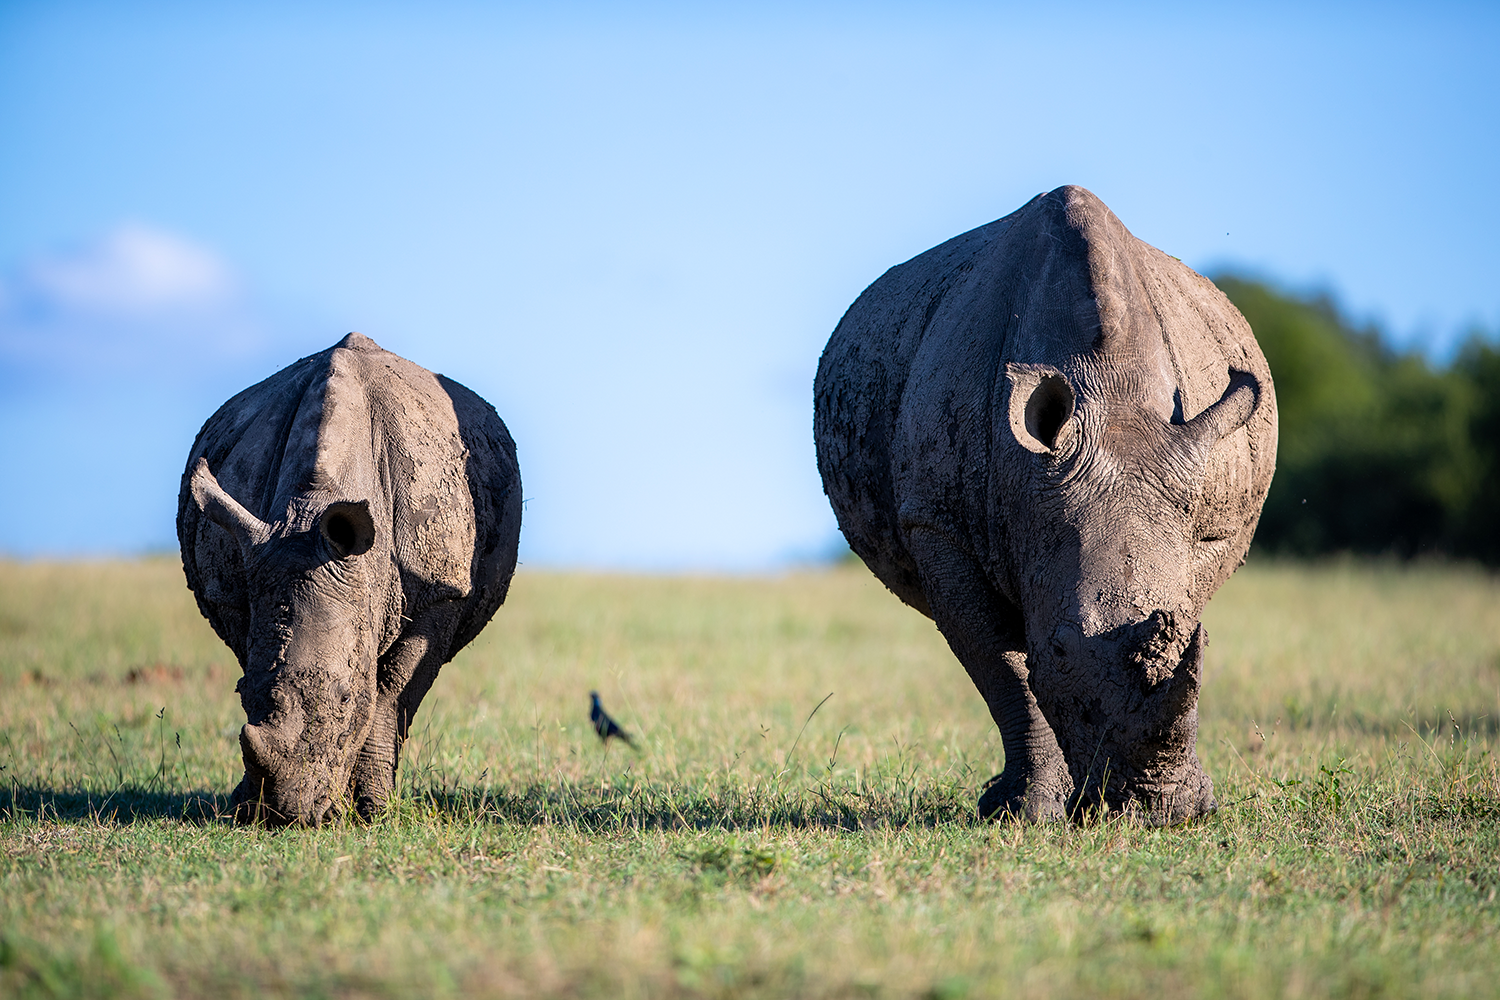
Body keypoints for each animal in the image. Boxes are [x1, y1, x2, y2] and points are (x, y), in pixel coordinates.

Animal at [178, 332, 521, 826]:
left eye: (344, 698)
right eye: (240, 696)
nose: (285, 815)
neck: (306, 507)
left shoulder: (440, 593)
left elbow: (391, 692)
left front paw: (373, 811)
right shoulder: (236, 585)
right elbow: (256, 658)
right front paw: (246, 806)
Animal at [814, 186, 1277, 824]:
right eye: (1057, 647)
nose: (1150, 809)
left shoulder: (1212, 525)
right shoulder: (936, 523)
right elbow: (1001, 666)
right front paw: (1024, 812)